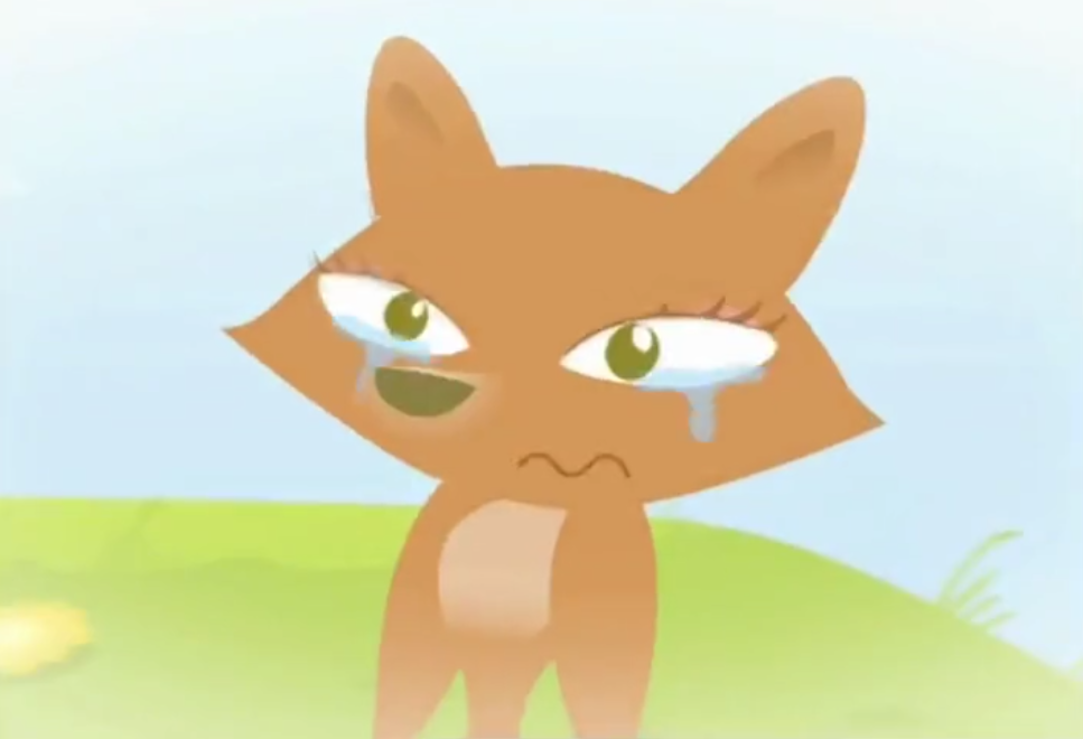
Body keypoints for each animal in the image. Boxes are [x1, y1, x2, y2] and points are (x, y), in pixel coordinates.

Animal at [226, 36, 882, 739]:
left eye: (640, 352)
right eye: (403, 315)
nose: (437, 391)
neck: (525, 513)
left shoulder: (604, 643)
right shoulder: (418, 626)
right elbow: (400, 701)